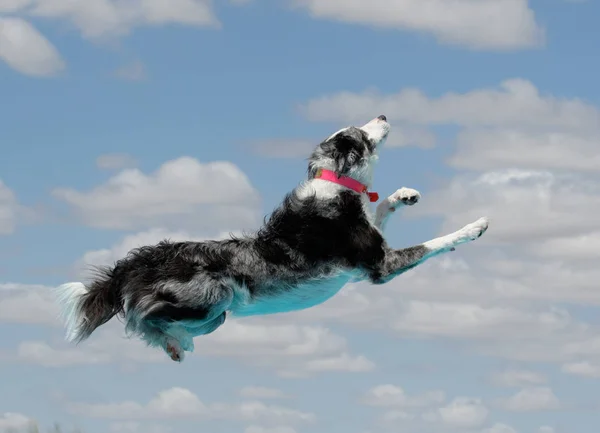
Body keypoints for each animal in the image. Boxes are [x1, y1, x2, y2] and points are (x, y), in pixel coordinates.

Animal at [54, 115, 490, 362]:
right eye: (360, 132)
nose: (382, 112)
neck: (335, 179)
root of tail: (137, 261)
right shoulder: (380, 265)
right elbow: (435, 242)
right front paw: (473, 226)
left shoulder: (374, 245)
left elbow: (381, 210)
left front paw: (404, 195)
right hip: (213, 296)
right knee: (142, 319)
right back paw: (173, 343)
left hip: (217, 315)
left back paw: (176, 347)